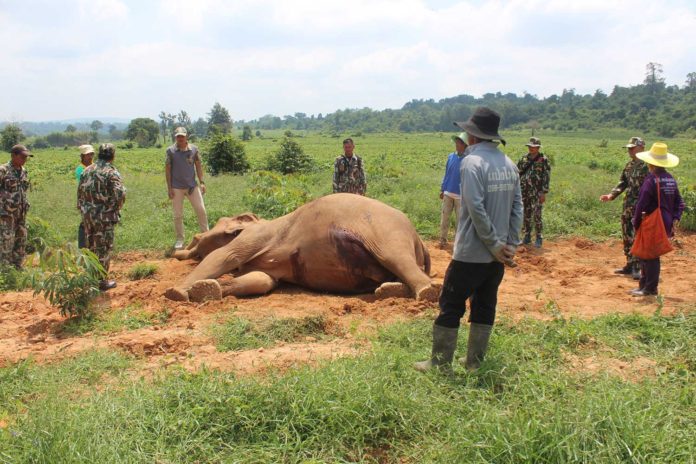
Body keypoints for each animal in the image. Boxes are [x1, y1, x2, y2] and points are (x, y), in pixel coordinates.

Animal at [163, 191, 438, 302]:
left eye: (197, 240)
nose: (173, 253)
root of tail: (419, 239)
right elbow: (263, 280)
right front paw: (206, 290)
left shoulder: (255, 236)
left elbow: (225, 255)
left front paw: (175, 293)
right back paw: (387, 291)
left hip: (387, 233)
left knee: (397, 259)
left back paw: (427, 292)